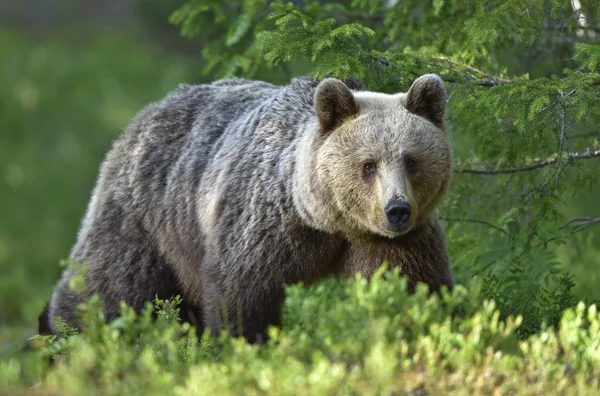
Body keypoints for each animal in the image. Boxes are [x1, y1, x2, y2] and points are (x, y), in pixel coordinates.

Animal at [39, 73, 454, 344]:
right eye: (368, 165)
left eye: (411, 160)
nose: (397, 209)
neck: (325, 220)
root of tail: (145, 114)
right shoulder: (262, 223)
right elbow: (241, 291)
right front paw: (246, 345)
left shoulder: (394, 241)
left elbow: (413, 284)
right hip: (145, 215)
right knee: (106, 283)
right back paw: (62, 336)